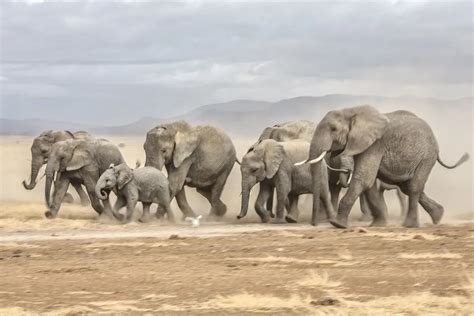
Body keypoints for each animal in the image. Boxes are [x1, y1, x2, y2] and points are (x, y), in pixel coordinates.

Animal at [298, 107, 468, 228]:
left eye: (333, 129)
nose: (314, 224)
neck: (352, 111)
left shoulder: (375, 145)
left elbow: (364, 179)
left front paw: (337, 225)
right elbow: (370, 185)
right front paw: (377, 225)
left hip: (427, 156)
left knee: (413, 187)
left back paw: (410, 225)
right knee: (408, 187)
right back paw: (438, 216)